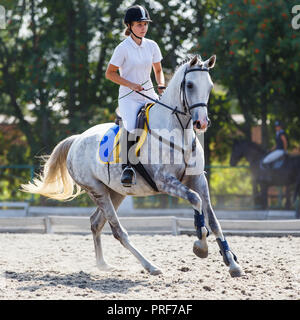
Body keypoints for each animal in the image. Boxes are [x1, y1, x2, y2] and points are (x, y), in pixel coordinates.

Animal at [22, 55, 244, 278]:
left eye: (210, 86)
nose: (202, 123)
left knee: (96, 223)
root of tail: (76, 140)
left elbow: (213, 219)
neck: (178, 132)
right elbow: (195, 199)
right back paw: (150, 266)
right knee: (118, 231)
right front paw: (201, 246)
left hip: (115, 192)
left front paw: (232, 262)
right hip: (97, 190)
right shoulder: (165, 181)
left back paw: (103, 264)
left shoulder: (198, 179)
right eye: (189, 85)